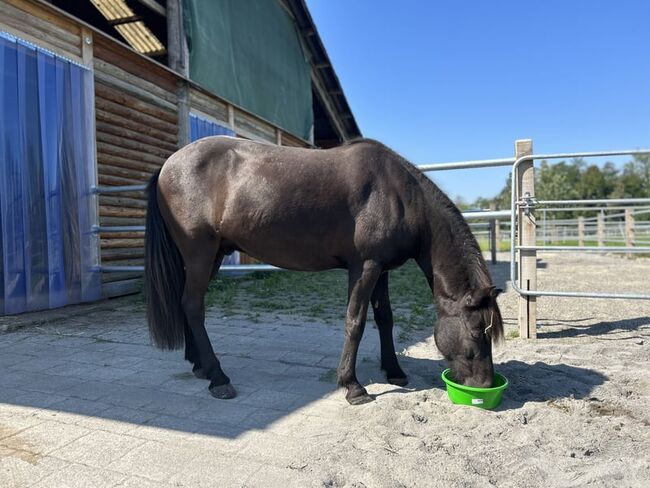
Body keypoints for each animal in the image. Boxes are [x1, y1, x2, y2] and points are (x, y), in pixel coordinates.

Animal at [144, 136, 504, 404]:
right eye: (477, 331)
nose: (485, 385)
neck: (398, 194)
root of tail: (168, 164)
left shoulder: (382, 269)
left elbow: (385, 319)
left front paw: (394, 371)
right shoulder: (364, 267)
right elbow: (355, 322)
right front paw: (352, 385)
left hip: (212, 255)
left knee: (188, 303)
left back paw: (200, 366)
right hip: (200, 252)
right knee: (193, 305)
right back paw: (218, 377)